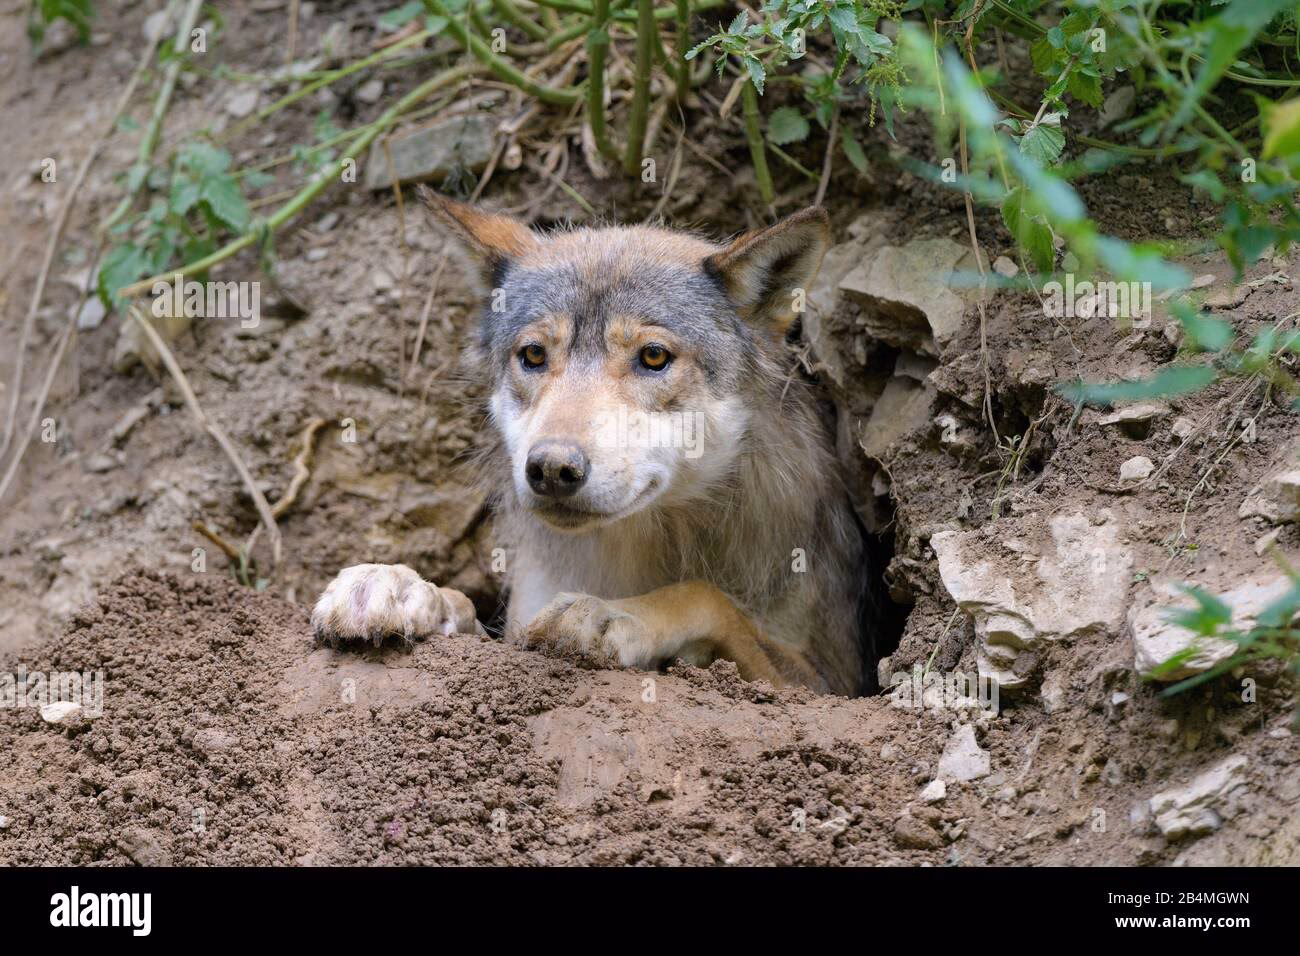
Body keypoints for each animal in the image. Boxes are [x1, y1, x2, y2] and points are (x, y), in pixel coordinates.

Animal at [311, 188, 871, 695]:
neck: (642, 543)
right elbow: (467, 606)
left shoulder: (830, 682)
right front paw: (394, 584)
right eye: (534, 355)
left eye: (653, 357)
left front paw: (612, 615)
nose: (552, 469)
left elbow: (705, 596)